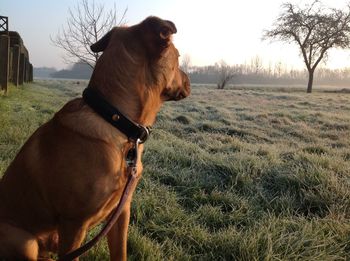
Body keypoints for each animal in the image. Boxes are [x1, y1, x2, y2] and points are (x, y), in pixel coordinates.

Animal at [0, 15, 189, 258]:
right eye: (178, 57)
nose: (189, 79)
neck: (113, 118)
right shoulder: (74, 224)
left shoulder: (121, 213)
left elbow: (120, 253)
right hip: (24, 240)